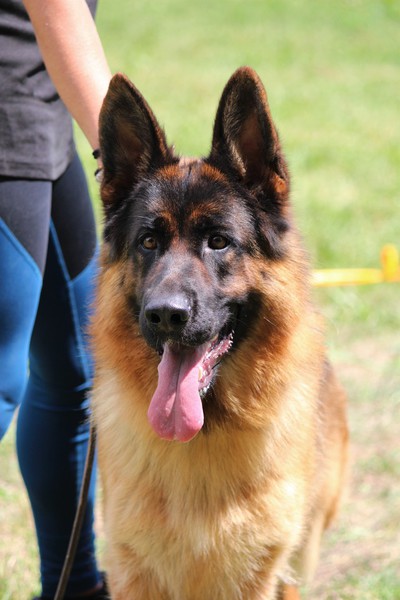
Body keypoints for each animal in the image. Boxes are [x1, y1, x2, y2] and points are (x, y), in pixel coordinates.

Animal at [91, 67, 348, 599]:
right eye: (148, 241)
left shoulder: (260, 576)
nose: (165, 315)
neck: (204, 437)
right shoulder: (133, 574)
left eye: (219, 242)